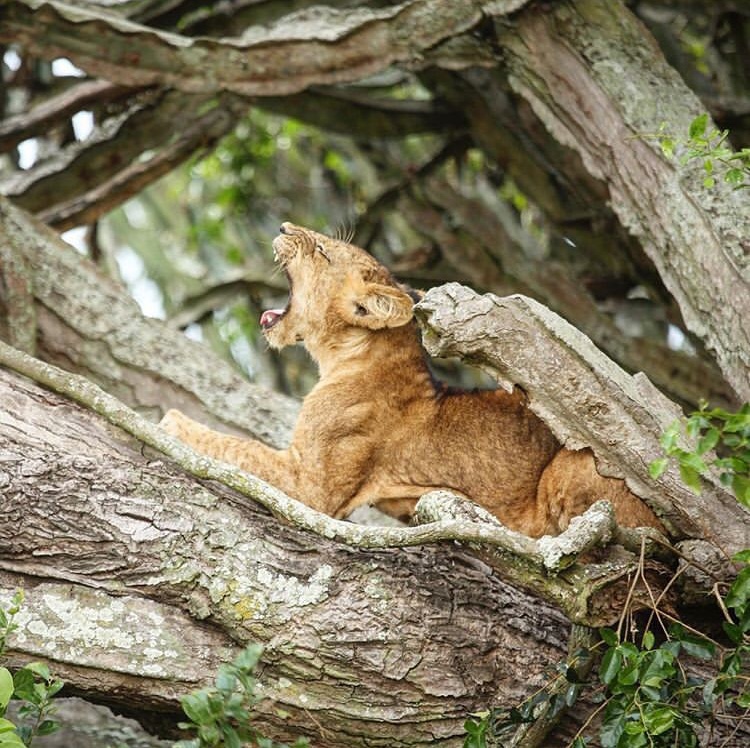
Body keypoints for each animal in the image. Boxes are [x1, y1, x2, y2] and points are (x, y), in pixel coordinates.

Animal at [160, 222, 662, 536]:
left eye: (321, 251)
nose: (283, 227)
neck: (345, 359)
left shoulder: (311, 490)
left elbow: (237, 448)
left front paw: (172, 422)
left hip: (569, 468)